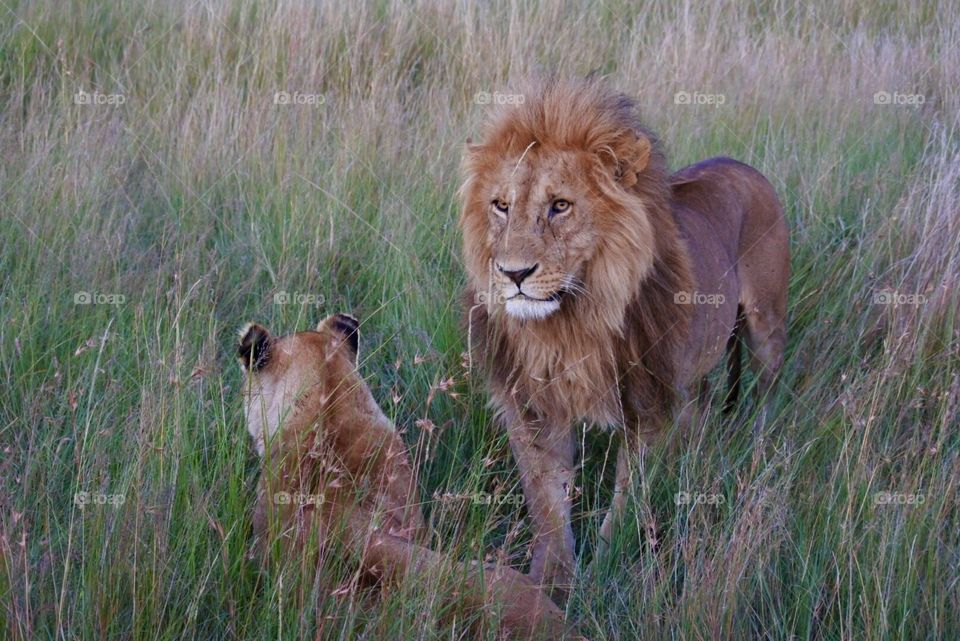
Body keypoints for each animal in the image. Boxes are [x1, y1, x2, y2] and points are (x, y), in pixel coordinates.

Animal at [464, 77, 788, 604]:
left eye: (560, 205)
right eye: (501, 206)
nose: (513, 274)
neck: (572, 323)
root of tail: (742, 165)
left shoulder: (648, 403)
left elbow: (626, 500)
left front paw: (603, 573)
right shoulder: (532, 408)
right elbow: (547, 504)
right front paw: (551, 584)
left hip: (766, 327)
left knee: (764, 393)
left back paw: (756, 449)